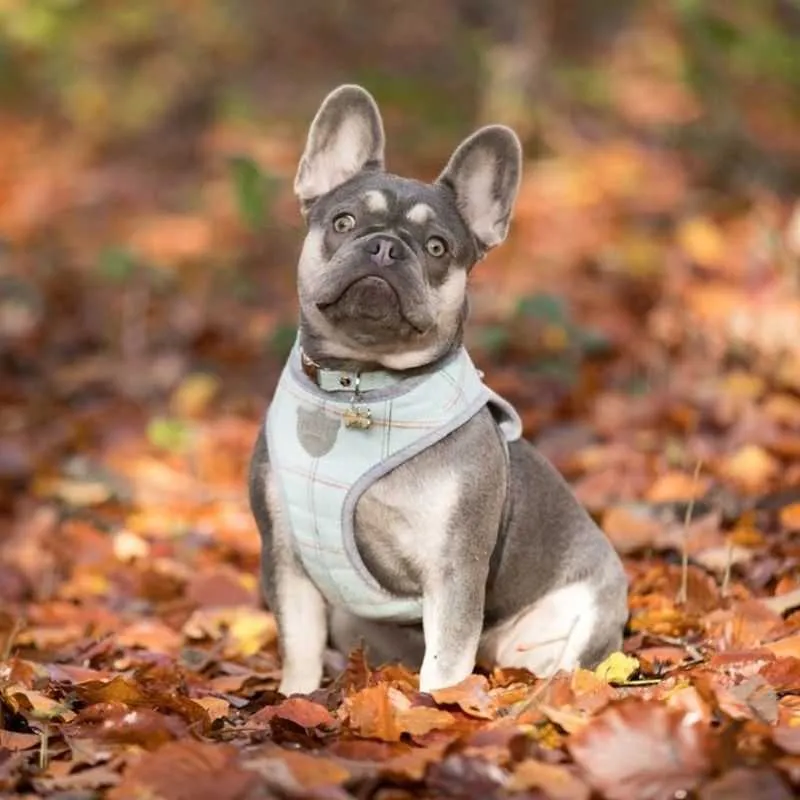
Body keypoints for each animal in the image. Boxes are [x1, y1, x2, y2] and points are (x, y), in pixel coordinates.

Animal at [247, 83, 628, 692]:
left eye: (437, 247)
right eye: (344, 222)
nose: (385, 247)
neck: (361, 385)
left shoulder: (454, 568)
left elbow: (446, 658)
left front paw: (437, 706)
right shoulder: (286, 556)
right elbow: (298, 645)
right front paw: (294, 696)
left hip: (582, 612)